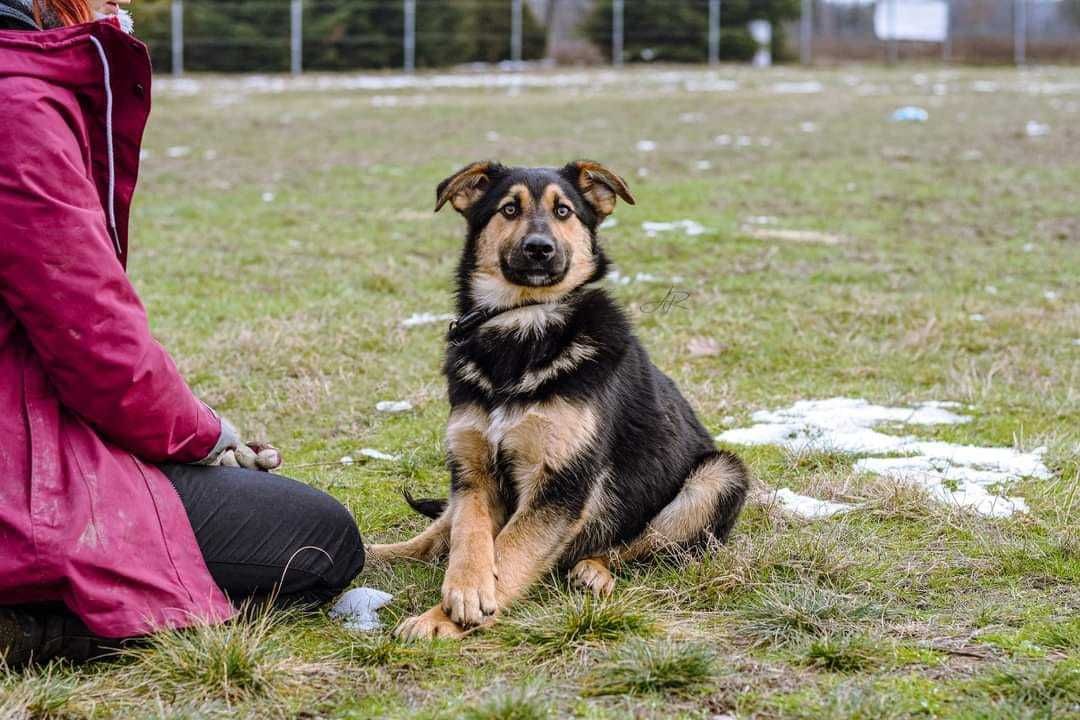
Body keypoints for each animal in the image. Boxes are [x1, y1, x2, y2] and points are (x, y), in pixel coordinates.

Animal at [367, 160, 747, 639]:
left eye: (563, 210)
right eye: (509, 209)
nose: (539, 249)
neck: (523, 323)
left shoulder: (562, 482)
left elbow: (510, 550)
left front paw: (440, 618)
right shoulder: (472, 468)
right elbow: (469, 534)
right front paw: (465, 587)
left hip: (719, 477)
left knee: (634, 547)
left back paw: (593, 571)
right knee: (437, 533)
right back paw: (373, 554)